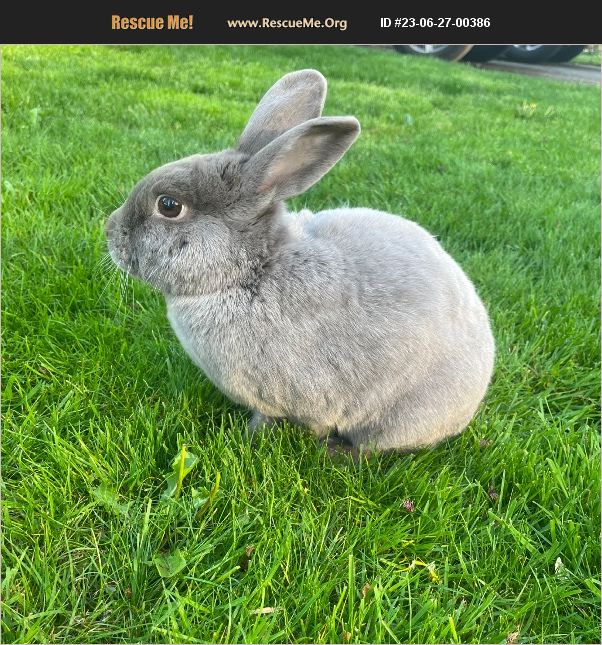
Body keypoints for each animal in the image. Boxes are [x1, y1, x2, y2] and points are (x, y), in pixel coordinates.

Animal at [106, 69, 495, 453]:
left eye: (169, 206)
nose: (110, 232)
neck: (252, 271)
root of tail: (474, 395)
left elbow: (277, 419)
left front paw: (250, 437)